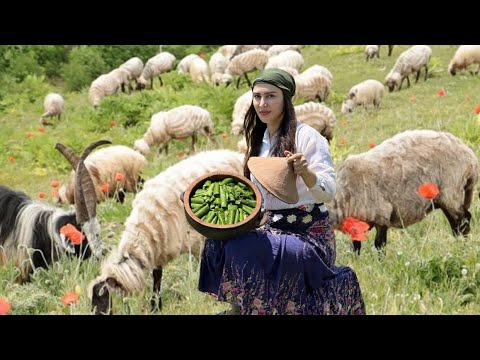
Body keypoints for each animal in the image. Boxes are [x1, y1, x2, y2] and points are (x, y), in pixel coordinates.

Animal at [90, 148, 246, 314]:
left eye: (103, 298)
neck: (144, 226)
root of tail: (235, 154)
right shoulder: (159, 247)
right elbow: (157, 276)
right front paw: (155, 306)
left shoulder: (196, 242)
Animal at [326, 129, 476, 253]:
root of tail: (471, 157)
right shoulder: (357, 225)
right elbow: (355, 247)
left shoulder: (382, 215)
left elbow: (379, 245)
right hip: (445, 198)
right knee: (456, 224)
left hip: (452, 190)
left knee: (464, 220)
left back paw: (463, 246)